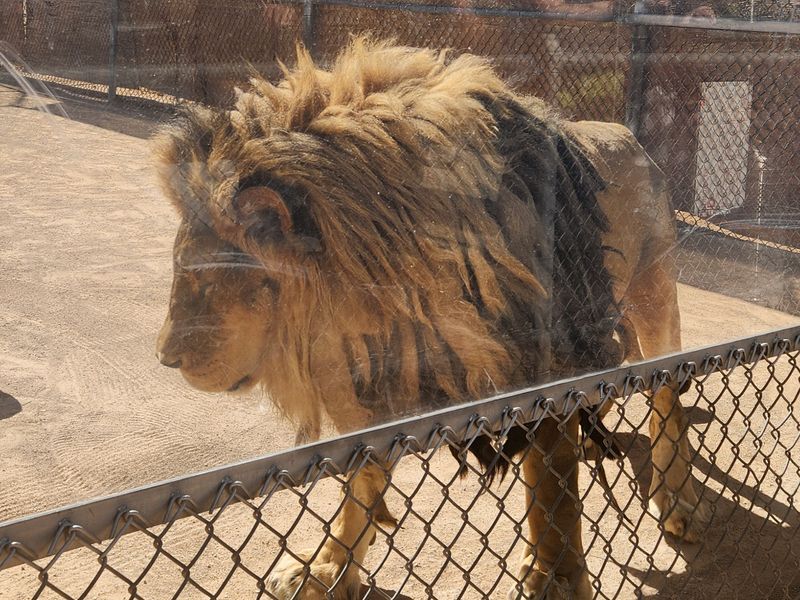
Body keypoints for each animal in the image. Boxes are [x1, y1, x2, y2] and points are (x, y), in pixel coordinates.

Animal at [154, 38, 707, 599]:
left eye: (201, 280)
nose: (164, 359)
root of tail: (628, 134)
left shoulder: (547, 366)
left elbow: (552, 483)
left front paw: (555, 575)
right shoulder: (385, 372)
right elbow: (363, 484)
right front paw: (327, 568)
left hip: (655, 296)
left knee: (666, 394)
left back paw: (678, 500)